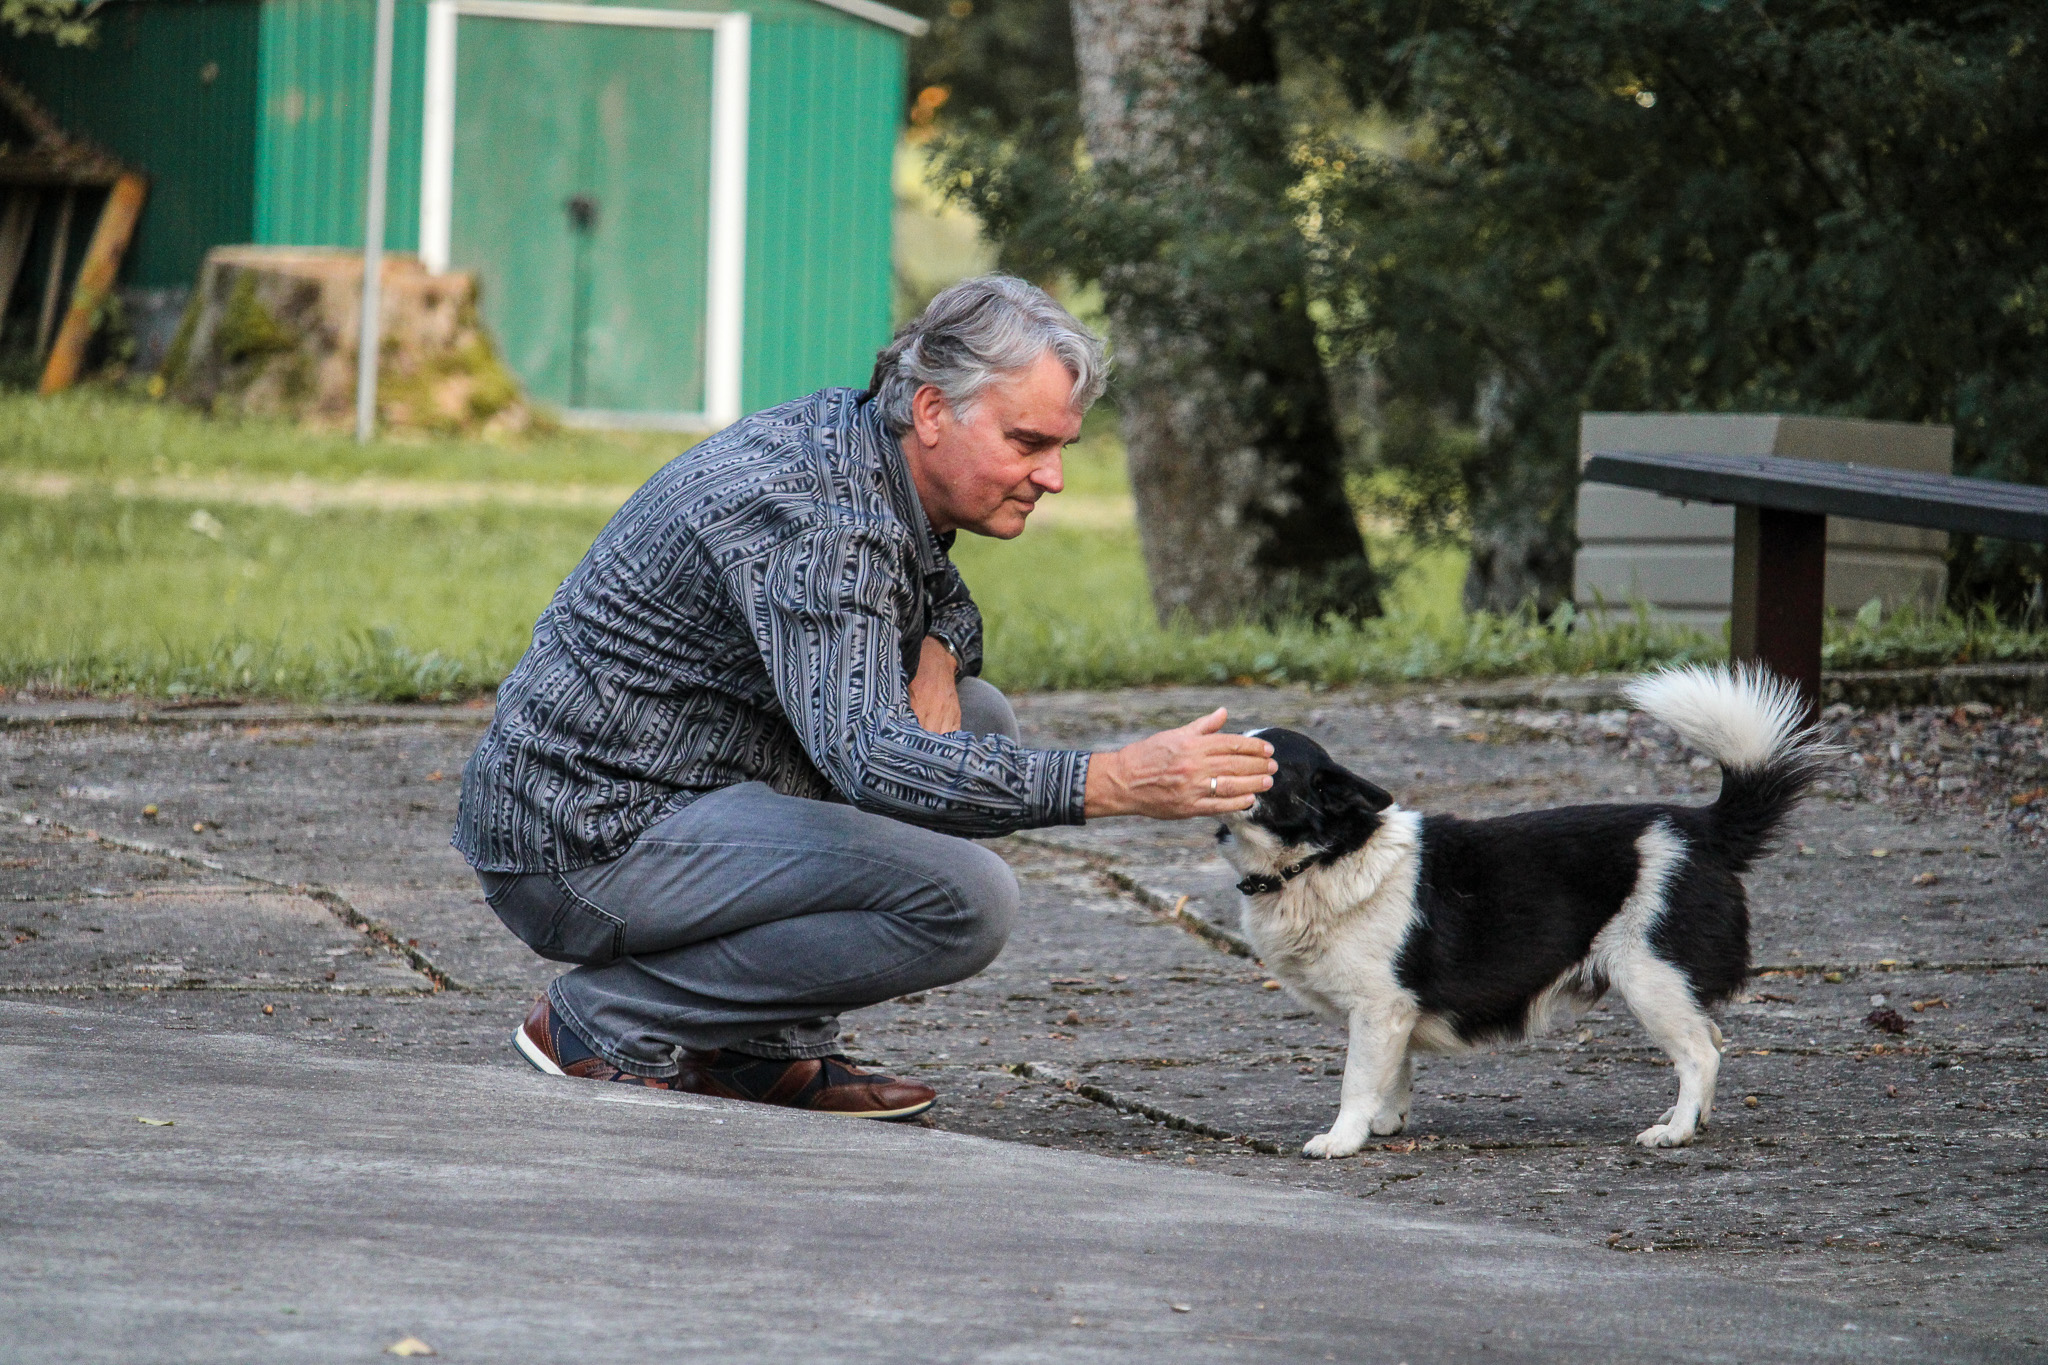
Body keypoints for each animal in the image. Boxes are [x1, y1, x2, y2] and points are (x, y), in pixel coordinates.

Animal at [1220, 667, 1835, 1162]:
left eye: (1262, 762)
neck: (1321, 858)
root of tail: (1702, 828)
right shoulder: (1394, 1016)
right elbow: (1395, 1074)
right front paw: (1386, 1123)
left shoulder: (1378, 1008)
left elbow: (1357, 1081)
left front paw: (1344, 1138)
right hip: (1668, 985)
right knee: (1711, 1037)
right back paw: (1692, 1117)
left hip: (1650, 978)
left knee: (1700, 1053)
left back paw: (1676, 1132)